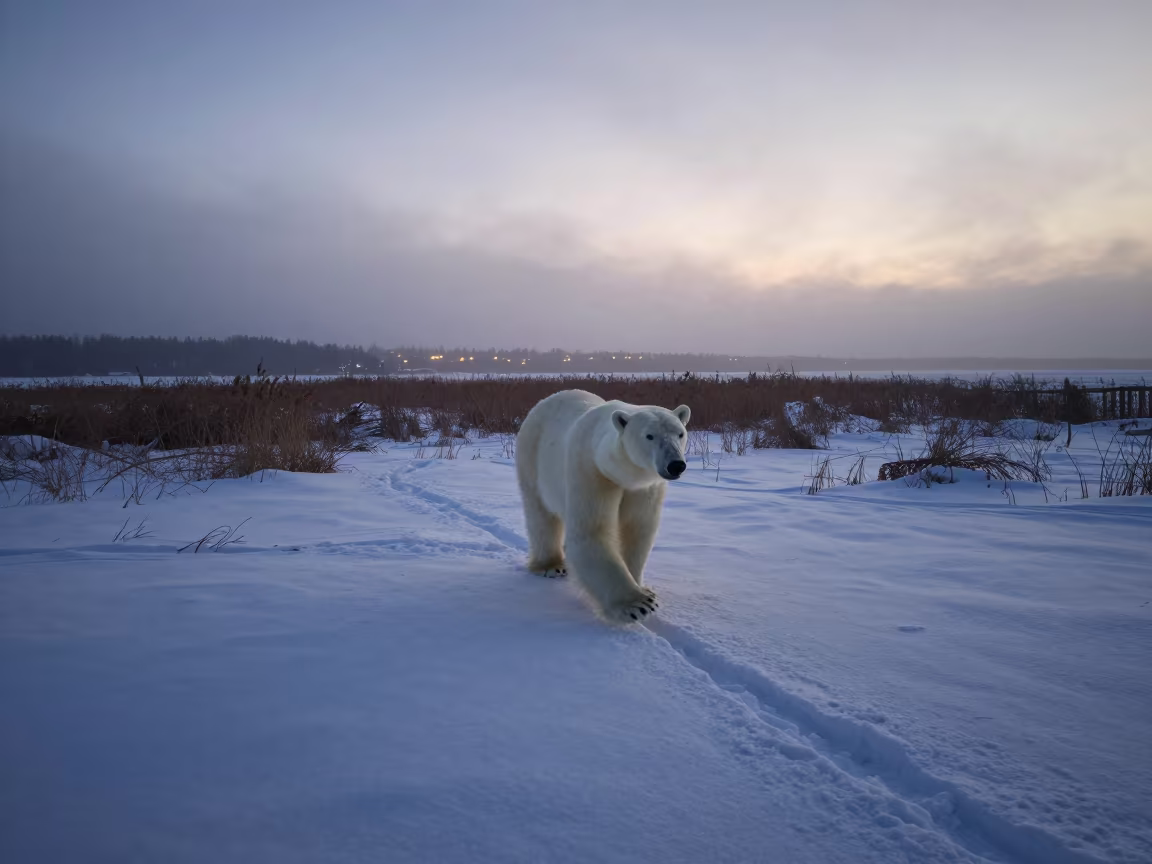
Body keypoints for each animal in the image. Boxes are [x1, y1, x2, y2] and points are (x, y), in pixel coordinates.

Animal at [515, 389, 691, 622]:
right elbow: (592, 531)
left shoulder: (644, 487)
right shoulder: (591, 471)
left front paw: (643, 588)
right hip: (532, 456)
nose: (676, 465)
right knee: (540, 513)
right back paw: (550, 566)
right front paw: (638, 604)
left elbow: (638, 530)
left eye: (680, 433)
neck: (621, 472)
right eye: (649, 435)